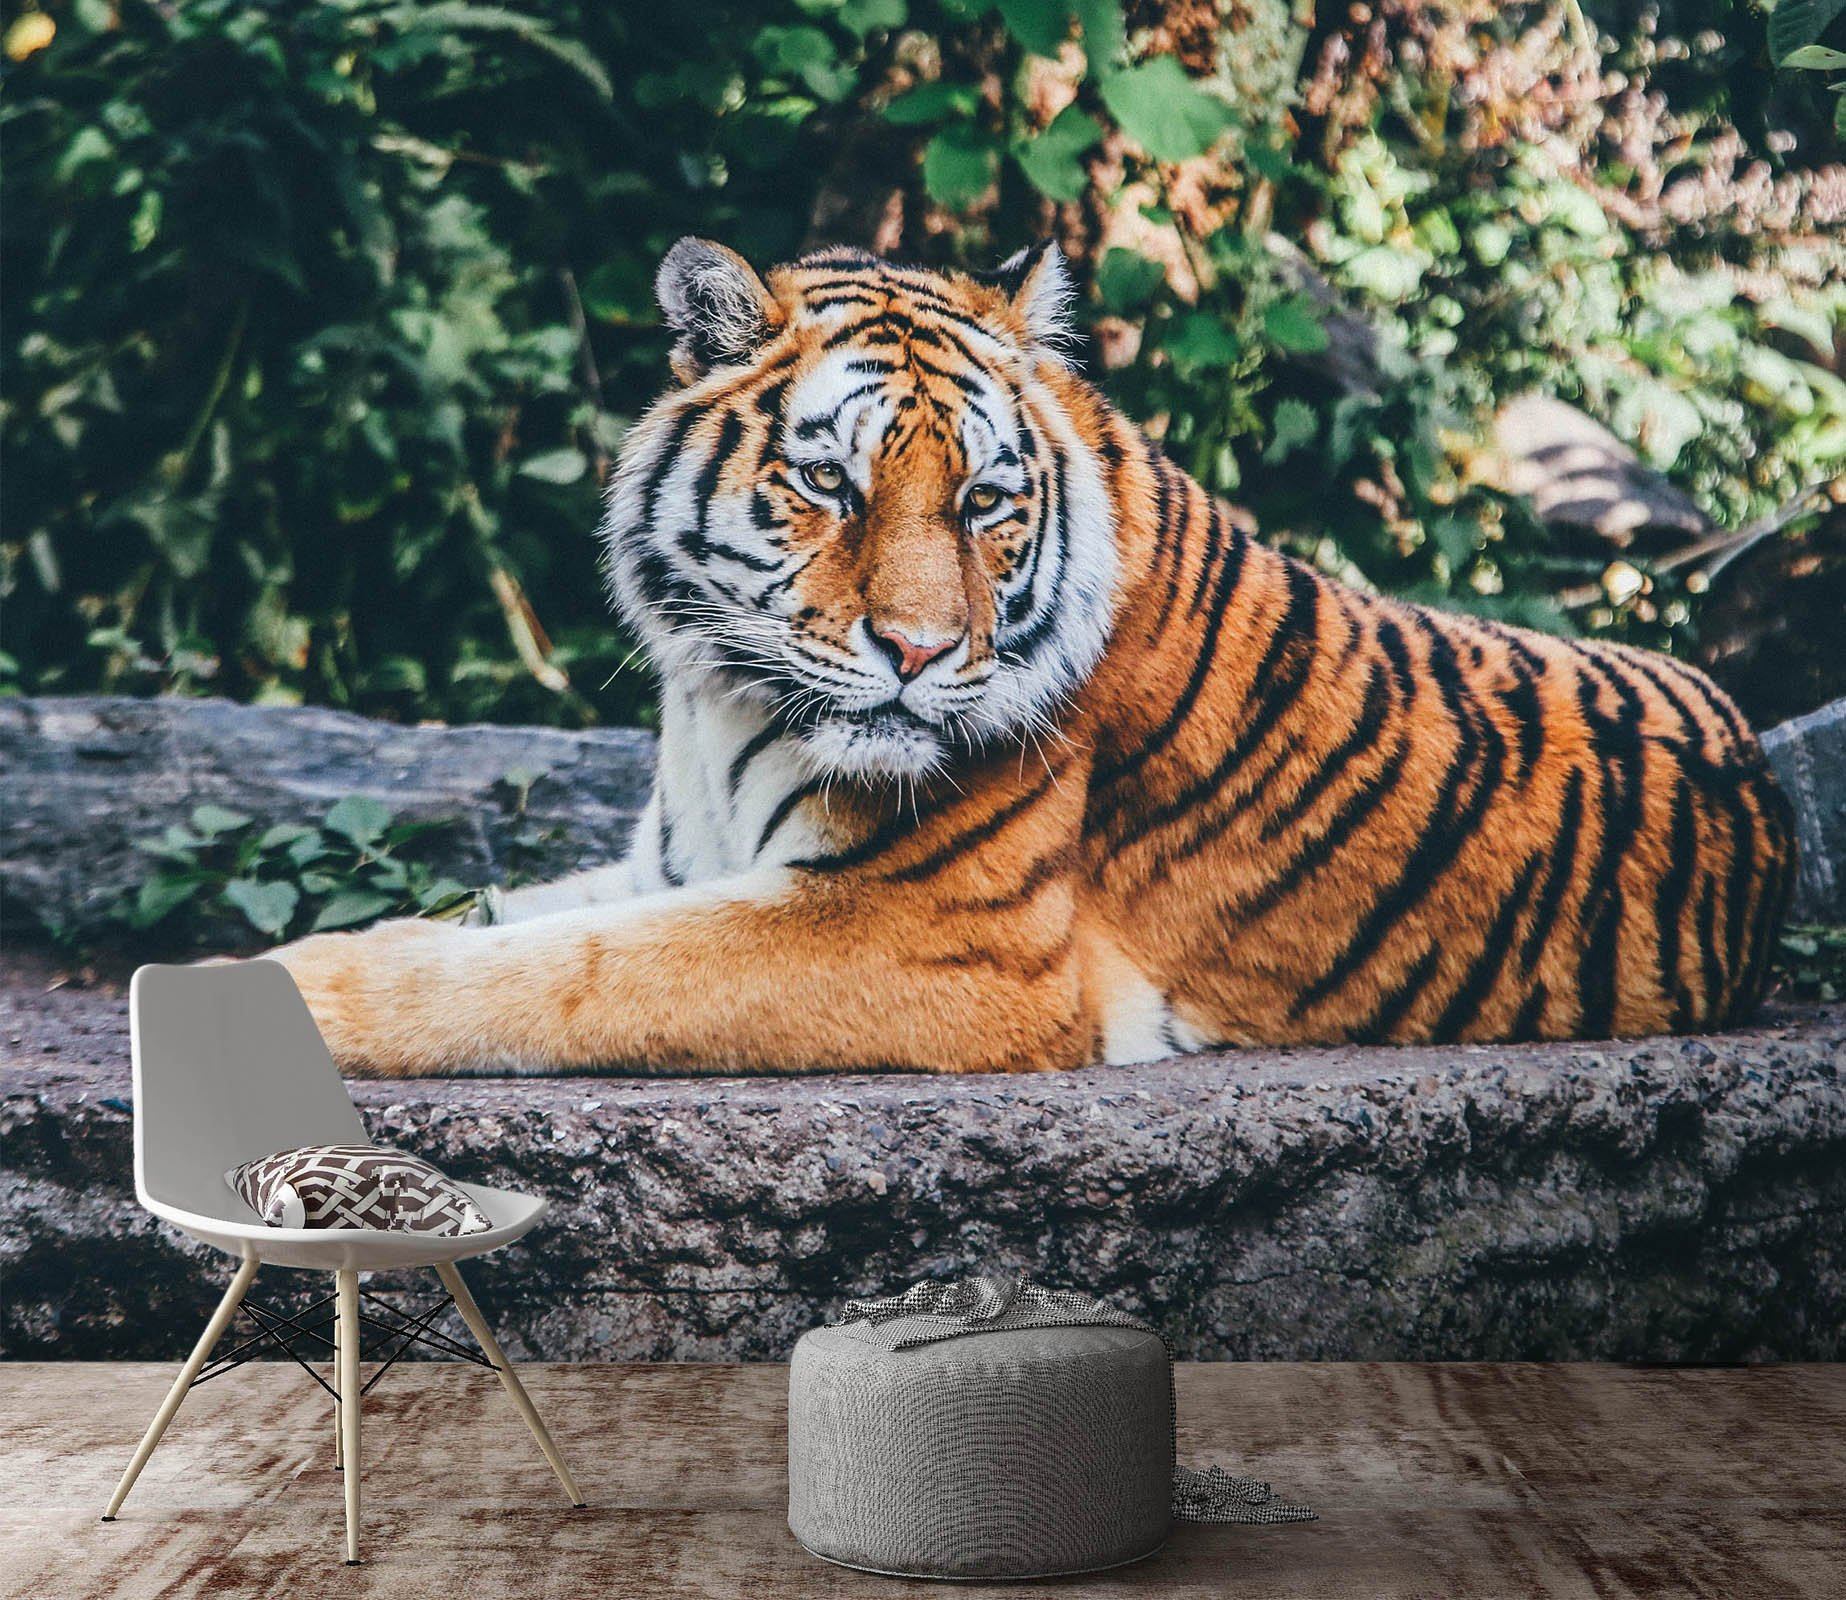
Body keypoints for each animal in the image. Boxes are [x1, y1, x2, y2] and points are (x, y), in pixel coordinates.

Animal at [271, 238, 1796, 1077]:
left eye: (985, 502)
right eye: (826, 483)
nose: (917, 650)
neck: (719, 701)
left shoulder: (933, 934)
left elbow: (564, 973)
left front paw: (290, 989)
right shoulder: (674, 864)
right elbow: (511, 921)